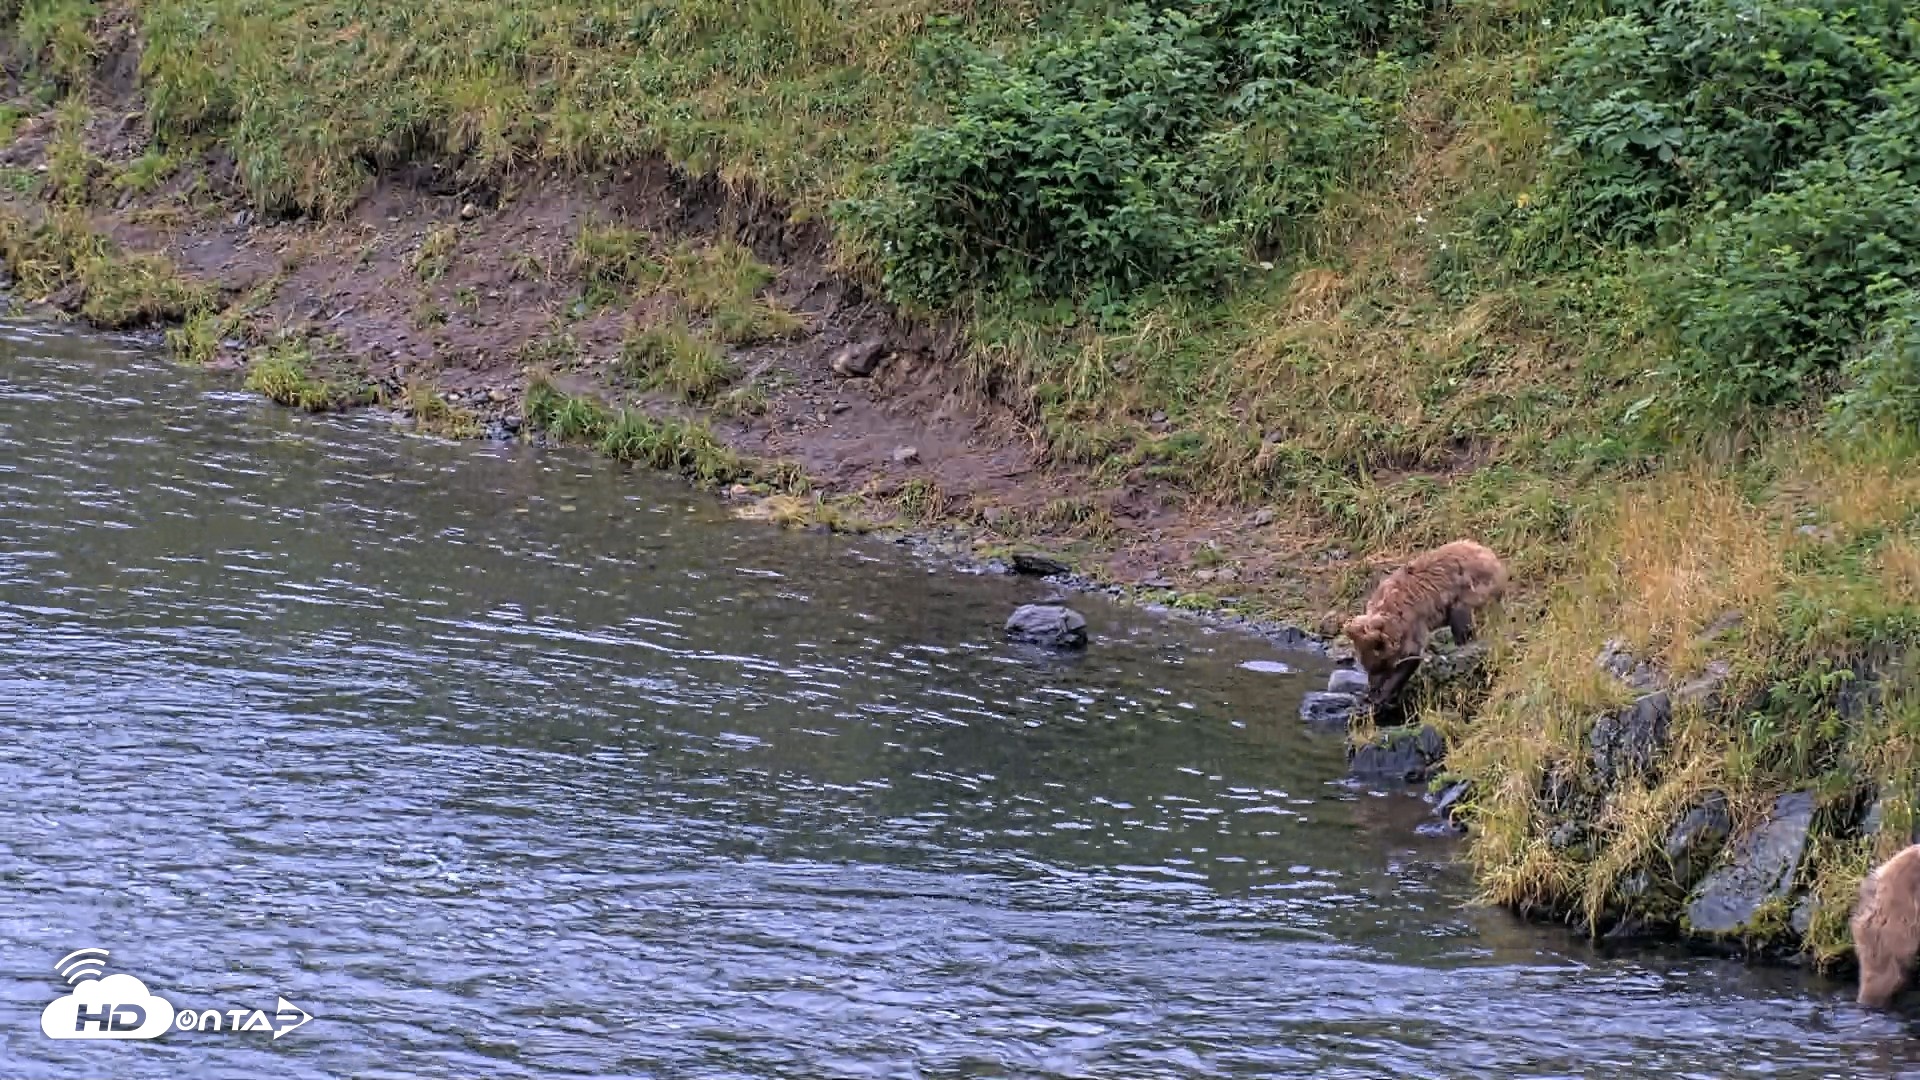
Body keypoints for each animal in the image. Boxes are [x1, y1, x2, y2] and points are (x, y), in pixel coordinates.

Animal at [1341, 539, 1508, 711]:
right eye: (1367, 666)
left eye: (1382, 665)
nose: (1373, 687)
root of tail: (1490, 554)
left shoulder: (1413, 623)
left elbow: (1411, 657)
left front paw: (1383, 695)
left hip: (1470, 588)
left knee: (1462, 618)